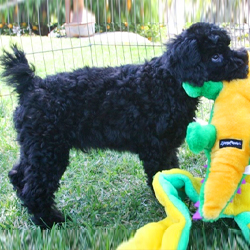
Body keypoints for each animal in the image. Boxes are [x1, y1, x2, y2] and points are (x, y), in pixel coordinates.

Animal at [0, 22, 248, 228]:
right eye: (216, 56)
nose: (245, 58)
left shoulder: (167, 147)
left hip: (35, 147)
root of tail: (31, 85)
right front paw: (171, 202)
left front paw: (180, 193)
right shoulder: (155, 149)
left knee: (17, 174)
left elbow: (171, 170)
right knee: (35, 188)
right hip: (49, 151)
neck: (168, 82)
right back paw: (49, 221)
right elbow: (159, 176)